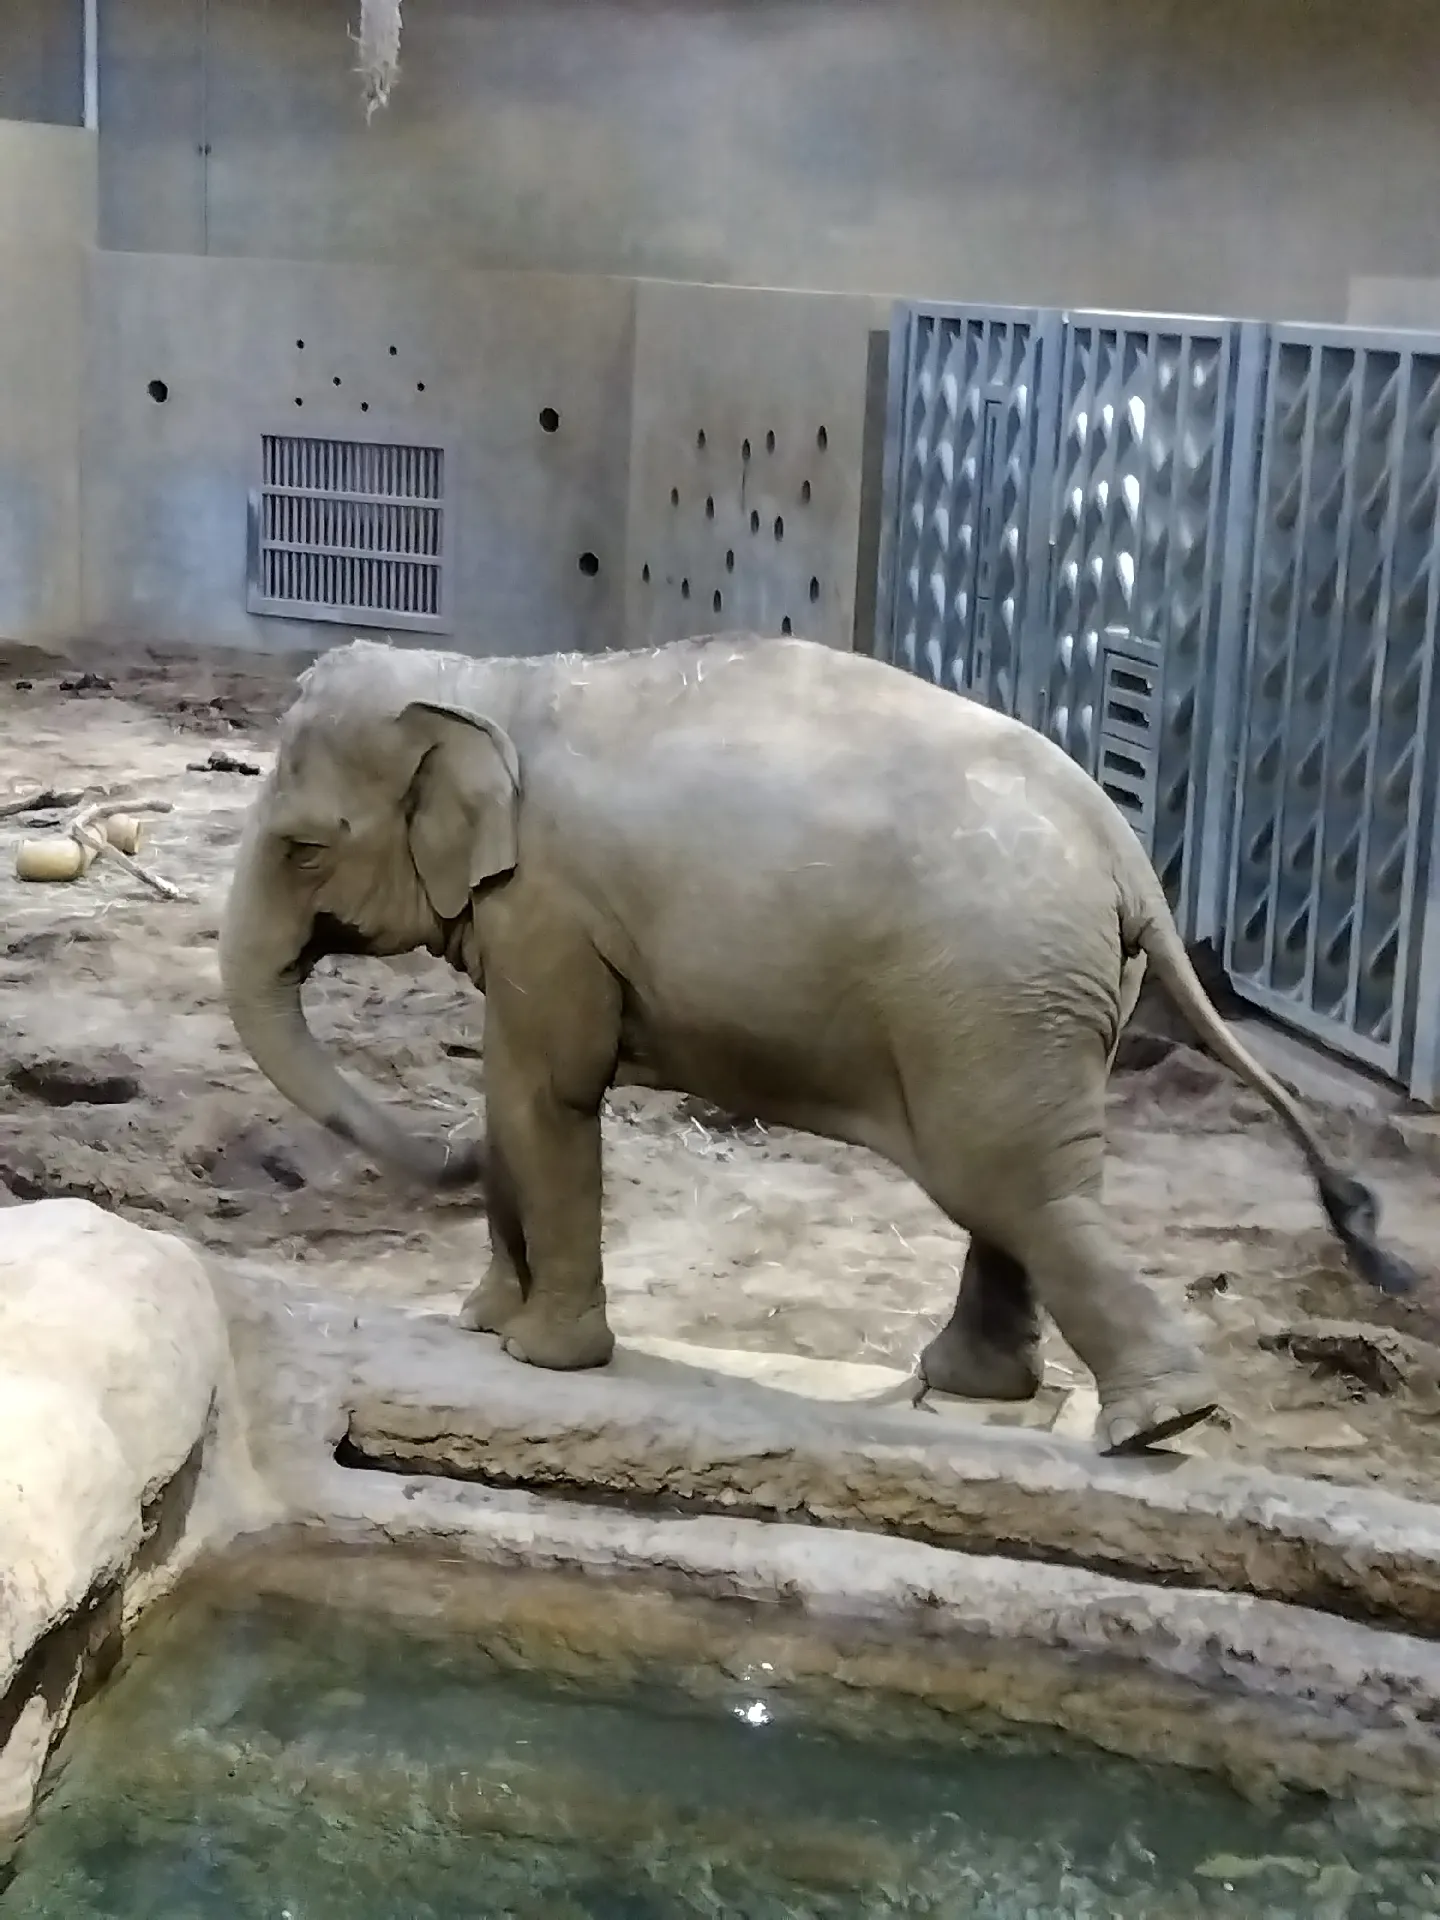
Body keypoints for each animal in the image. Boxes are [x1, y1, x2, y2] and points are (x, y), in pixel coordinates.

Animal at [219, 629, 1428, 1451]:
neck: (481, 682)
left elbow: (543, 1094)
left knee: (1014, 1186)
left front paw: (538, 1355)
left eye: (306, 847)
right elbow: (520, 1089)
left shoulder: (552, 912)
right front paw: (482, 1324)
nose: (447, 1152)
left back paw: (1155, 1425)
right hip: (1032, 1009)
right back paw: (987, 1391)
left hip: (992, 993)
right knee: (1017, 1188)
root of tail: (1132, 864)